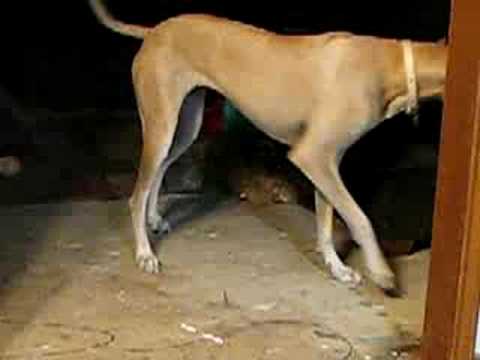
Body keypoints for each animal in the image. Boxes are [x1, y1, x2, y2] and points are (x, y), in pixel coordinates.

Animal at [87, 0, 446, 292]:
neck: (391, 63)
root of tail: (154, 31)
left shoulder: (327, 162)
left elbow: (326, 222)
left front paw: (337, 268)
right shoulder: (313, 156)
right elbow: (360, 219)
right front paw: (382, 272)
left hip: (184, 126)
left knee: (159, 172)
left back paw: (154, 219)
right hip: (161, 127)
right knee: (136, 194)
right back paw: (145, 253)